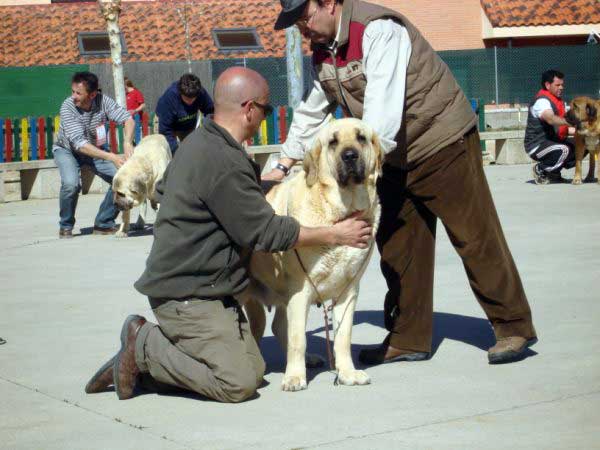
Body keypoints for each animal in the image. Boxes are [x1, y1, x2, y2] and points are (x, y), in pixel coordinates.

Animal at [237, 118, 382, 392]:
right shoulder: (300, 289)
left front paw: (347, 373)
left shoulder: (348, 291)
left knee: (274, 325)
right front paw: (294, 377)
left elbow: (343, 337)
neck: (341, 210)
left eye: (361, 138)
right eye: (333, 142)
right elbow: (297, 339)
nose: (350, 156)